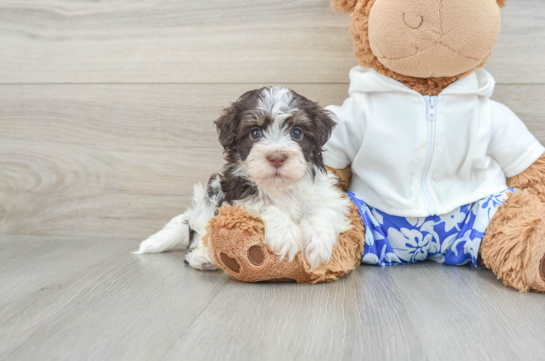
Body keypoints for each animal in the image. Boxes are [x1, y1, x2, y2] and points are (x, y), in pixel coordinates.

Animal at [134, 85, 350, 270]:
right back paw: (202, 257)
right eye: (255, 133)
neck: (279, 187)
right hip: (209, 200)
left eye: (296, 132)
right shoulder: (236, 197)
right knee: (199, 234)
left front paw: (317, 244)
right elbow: (266, 205)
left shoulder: (327, 196)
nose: (277, 157)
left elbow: (322, 212)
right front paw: (286, 235)